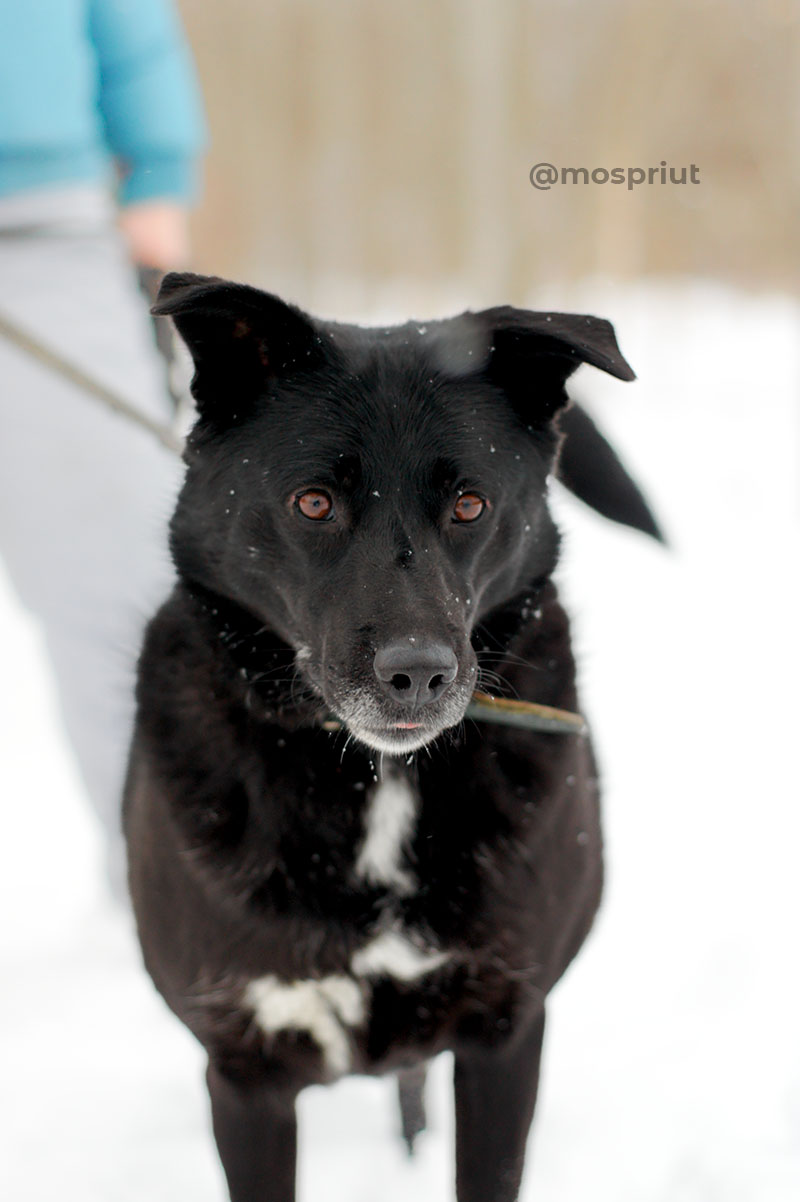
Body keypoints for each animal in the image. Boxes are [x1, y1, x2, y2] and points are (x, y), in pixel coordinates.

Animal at [123, 275, 653, 1202]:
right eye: (313, 503)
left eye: (470, 504)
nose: (419, 672)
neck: (373, 781)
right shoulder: (245, 1070)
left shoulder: (504, 1033)